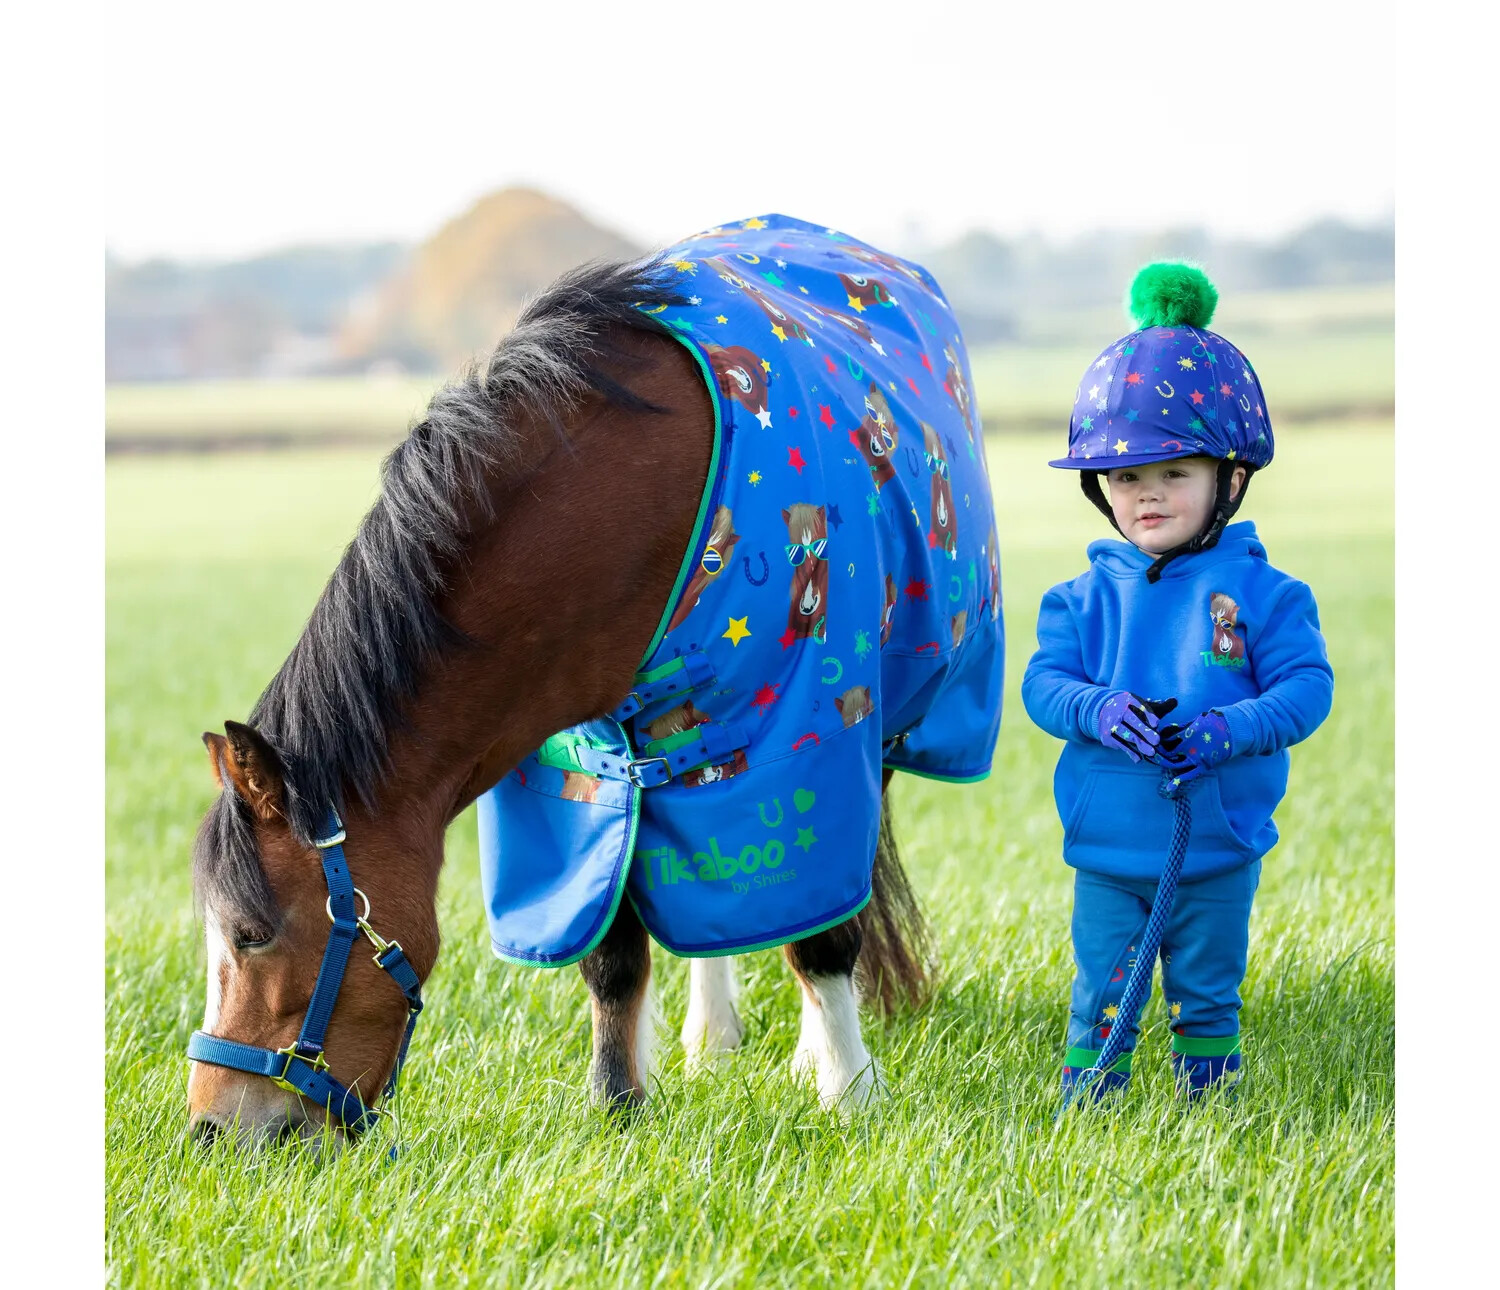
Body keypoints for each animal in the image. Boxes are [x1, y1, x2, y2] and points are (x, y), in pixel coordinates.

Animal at [186, 215, 1003, 1147]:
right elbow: (613, 948)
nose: (209, 1127)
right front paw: (619, 1102)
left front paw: (848, 1091)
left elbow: (820, 933)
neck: (624, 509)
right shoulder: (582, 773)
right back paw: (712, 1034)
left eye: (249, 933)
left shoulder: (810, 741)